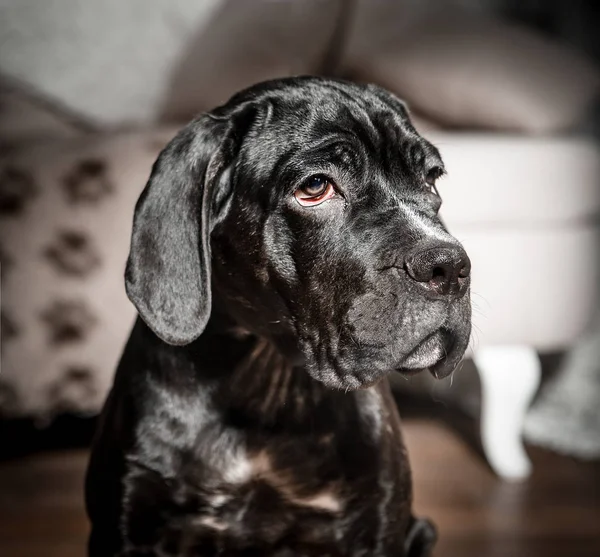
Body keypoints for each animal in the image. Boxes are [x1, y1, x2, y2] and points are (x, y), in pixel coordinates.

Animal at [85, 76, 468, 552]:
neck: (261, 383)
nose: (449, 265)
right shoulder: (126, 528)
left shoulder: (377, 528)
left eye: (431, 180)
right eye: (316, 187)